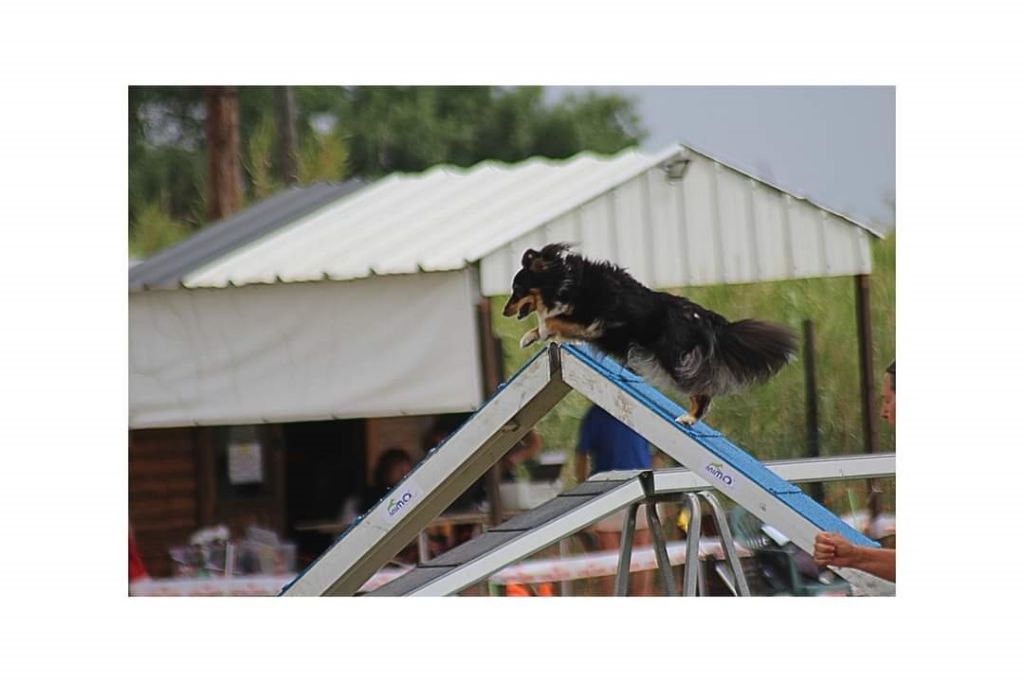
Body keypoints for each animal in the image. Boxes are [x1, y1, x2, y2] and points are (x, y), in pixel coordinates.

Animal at [503, 244, 798, 421]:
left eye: (516, 290)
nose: (505, 311)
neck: (561, 281)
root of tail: (704, 317)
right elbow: (550, 323)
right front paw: (528, 337)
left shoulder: (591, 322)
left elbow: (552, 321)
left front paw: (539, 330)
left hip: (674, 363)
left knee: (702, 390)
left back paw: (689, 418)